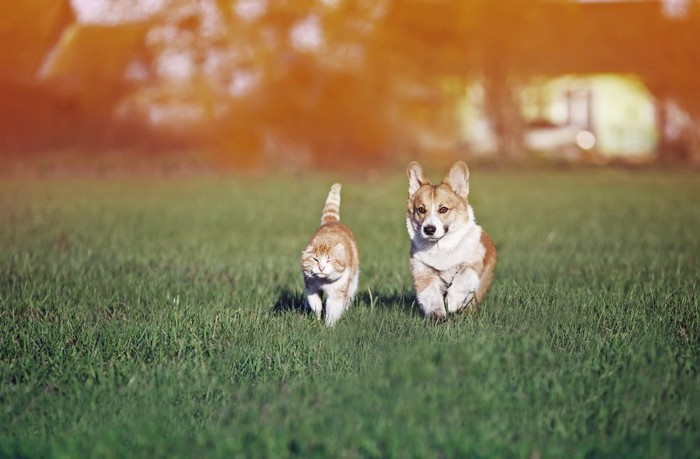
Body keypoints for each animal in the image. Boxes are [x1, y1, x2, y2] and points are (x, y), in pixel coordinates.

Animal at [300, 183, 358, 328]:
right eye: (315, 259)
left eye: (329, 260)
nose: (321, 268)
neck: (323, 281)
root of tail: (332, 222)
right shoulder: (311, 287)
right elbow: (316, 304)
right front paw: (317, 318)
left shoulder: (337, 293)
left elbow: (333, 311)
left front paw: (329, 328)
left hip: (353, 282)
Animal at [404, 162, 498, 320]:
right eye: (421, 210)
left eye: (443, 209)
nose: (429, 229)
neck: (440, 247)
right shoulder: (423, 273)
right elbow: (431, 295)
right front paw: (437, 316)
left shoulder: (473, 263)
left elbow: (464, 275)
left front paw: (452, 301)